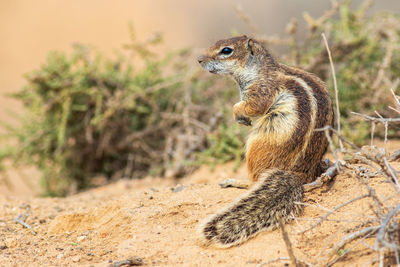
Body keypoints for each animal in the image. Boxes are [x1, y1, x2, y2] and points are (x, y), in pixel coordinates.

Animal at [197, 35, 334, 249]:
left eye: (226, 50)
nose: (199, 60)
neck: (259, 70)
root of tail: (298, 174)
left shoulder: (261, 90)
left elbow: (253, 106)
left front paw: (238, 114)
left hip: (257, 145)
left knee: (254, 180)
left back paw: (236, 182)